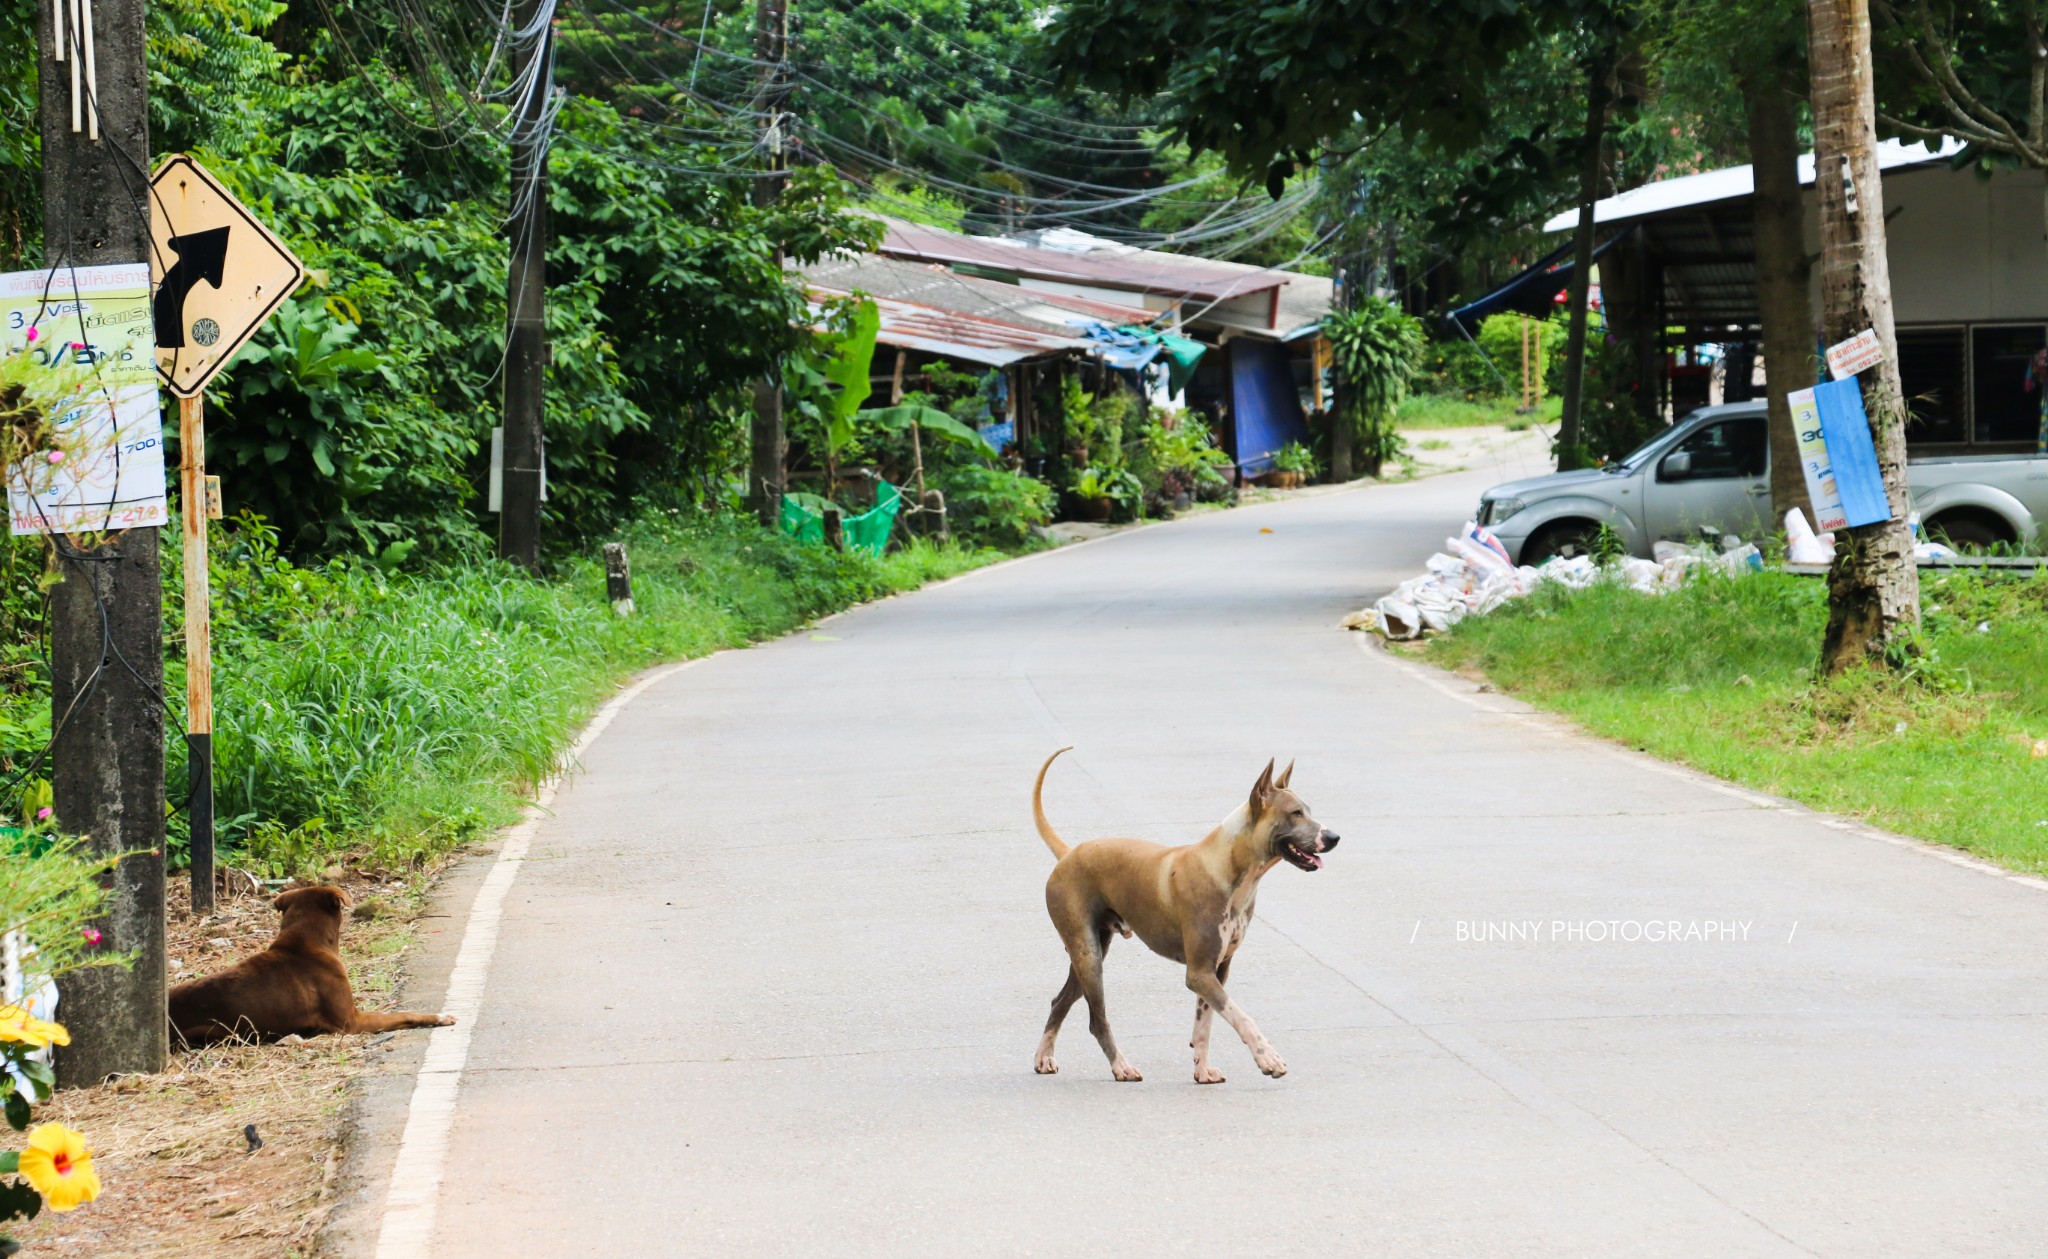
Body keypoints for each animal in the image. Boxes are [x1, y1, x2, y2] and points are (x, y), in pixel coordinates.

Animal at [1032, 749, 1335, 1080]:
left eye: (1308, 811)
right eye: (1296, 813)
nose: (1334, 837)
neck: (1227, 867)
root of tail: (1068, 853)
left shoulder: (1216, 971)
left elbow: (1205, 1024)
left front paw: (1202, 1070)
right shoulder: (1199, 973)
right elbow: (1241, 1017)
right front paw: (1267, 1056)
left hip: (1090, 953)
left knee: (1059, 1001)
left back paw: (1044, 1057)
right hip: (1089, 956)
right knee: (1096, 1020)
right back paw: (1121, 1066)